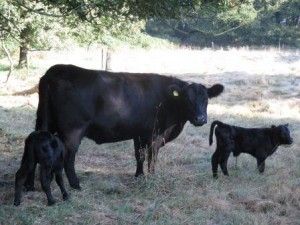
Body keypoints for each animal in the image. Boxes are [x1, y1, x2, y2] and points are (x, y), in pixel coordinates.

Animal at [29, 64, 223, 189]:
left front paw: (139, 176)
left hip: (46, 123)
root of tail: (52, 72)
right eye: (187, 99)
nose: (200, 119)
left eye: (206, 99)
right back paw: (75, 184)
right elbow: (152, 158)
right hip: (73, 130)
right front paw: (151, 177)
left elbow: (139, 156)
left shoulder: (139, 133)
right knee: (69, 157)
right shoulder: (155, 135)